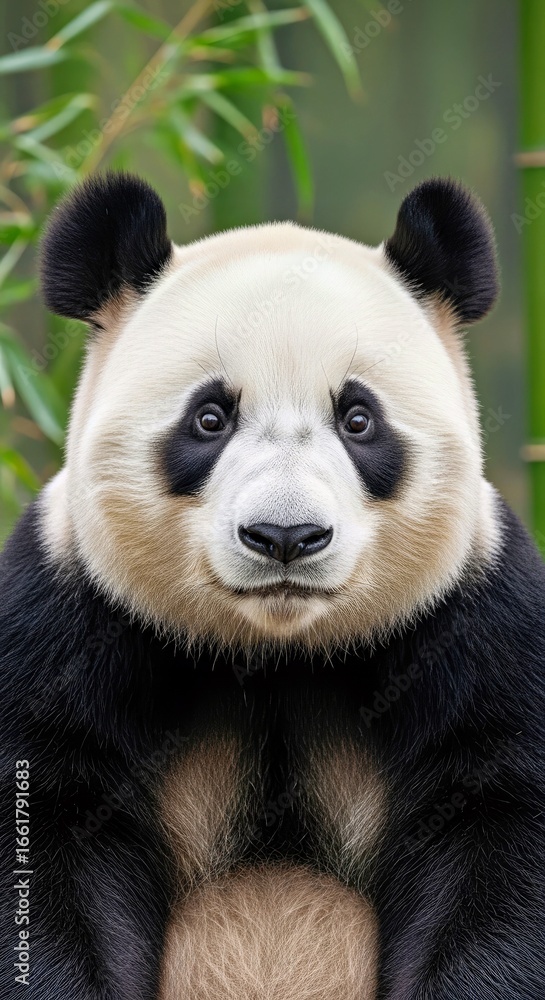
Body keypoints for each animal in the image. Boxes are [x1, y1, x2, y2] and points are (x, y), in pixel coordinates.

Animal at [1, 172, 544, 1000]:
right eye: (209, 417)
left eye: (358, 418)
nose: (285, 537)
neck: (275, 650)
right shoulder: (64, 618)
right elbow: (48, 840)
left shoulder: (477, 620)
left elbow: (495, 845)